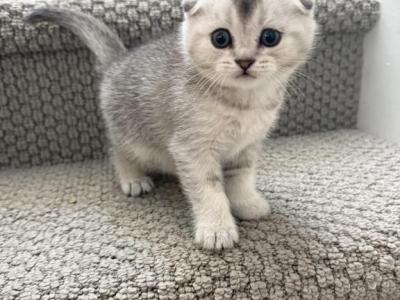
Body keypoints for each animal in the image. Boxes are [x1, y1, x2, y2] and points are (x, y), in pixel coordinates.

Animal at [26, 0, 318, 248]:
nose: (245, 61)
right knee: (116, 150)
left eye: (270, 37)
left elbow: (241, 178)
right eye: (220, 38)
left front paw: (246, 203)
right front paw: (216, 229)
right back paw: (132, 177)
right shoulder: (192, 149)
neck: (243, 103)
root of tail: (117, 62)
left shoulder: (247, 146)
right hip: (131, 135)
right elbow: (209, 189)